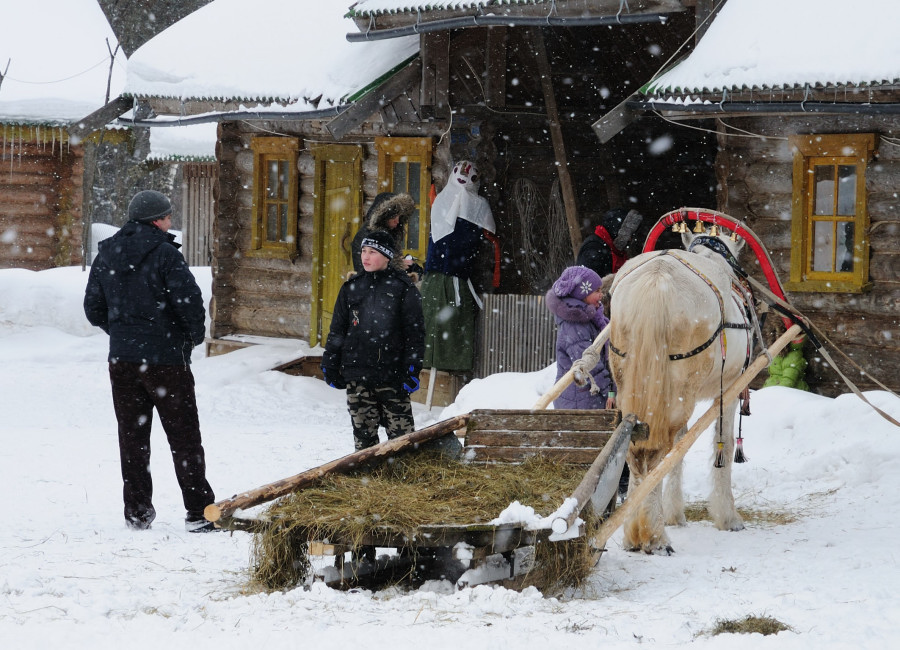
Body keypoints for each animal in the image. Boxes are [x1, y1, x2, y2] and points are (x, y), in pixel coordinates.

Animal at [608, 230, 756, 548]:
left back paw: (634, 531)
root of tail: (657, 280)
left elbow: (680, 445)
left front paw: (674, 513)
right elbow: (721, 446)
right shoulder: (729, 390)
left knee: (635, 449)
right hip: (677, 393)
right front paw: (728, 517)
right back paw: (653, 536)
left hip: (635, 388)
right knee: (655, 455)